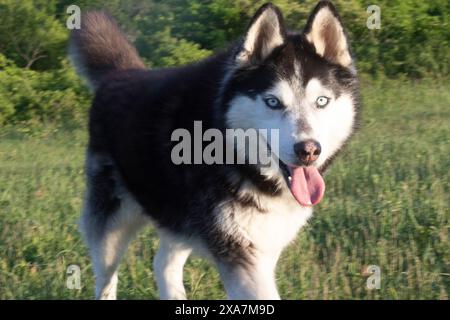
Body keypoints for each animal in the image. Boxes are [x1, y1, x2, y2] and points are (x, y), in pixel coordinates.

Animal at [70, 0, 358, 300]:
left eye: (321, 101)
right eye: (273, 102)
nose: (308, 150)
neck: (232, 151)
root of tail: (120, 73)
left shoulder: (264, 245)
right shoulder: (240, 251)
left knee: (163, 263)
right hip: (112, 227)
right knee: (106, 278)